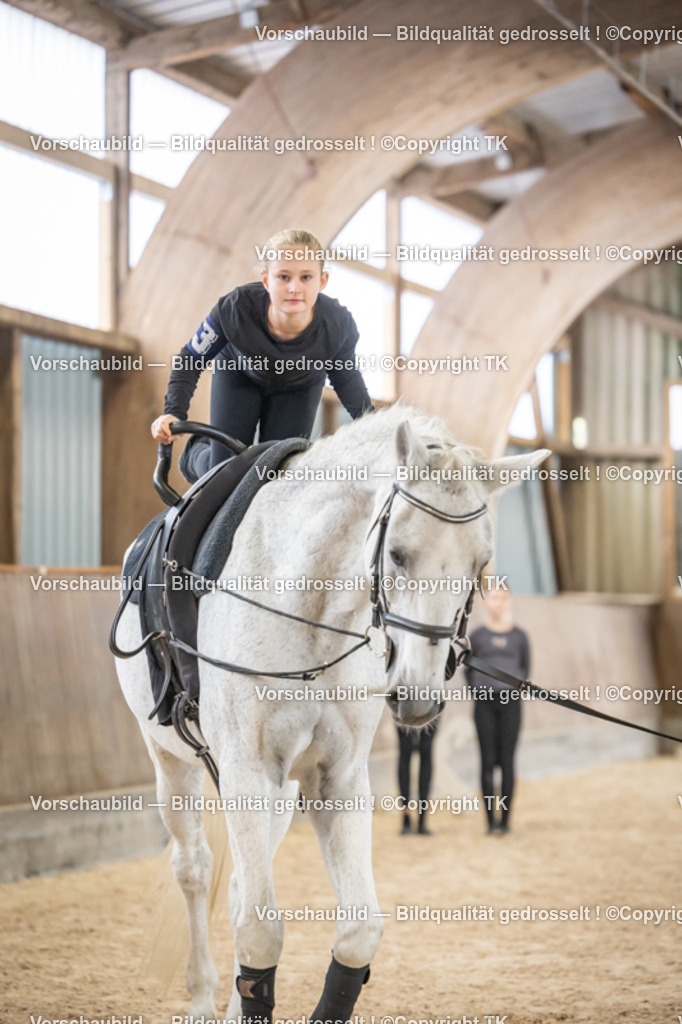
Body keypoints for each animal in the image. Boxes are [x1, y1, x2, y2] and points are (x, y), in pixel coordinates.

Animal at [114, 403, 549, 1022]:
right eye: (397, 553)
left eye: (480, 563)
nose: (417, 694)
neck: (309, 610)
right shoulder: (247, 771)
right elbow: (260, 933)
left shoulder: (335, 777)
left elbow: (356, 933)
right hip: (173, 763)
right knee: (194, 869)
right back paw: (201, 996)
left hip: (278, 792)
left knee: (241, 884)